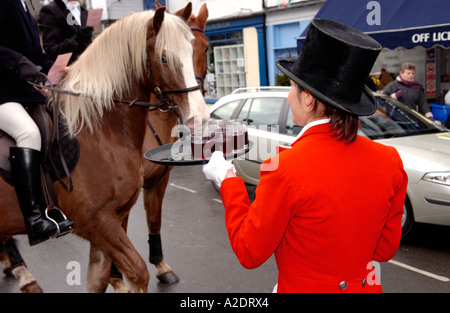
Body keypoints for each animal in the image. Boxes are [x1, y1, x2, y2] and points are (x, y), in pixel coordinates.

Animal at [0, 6, 208, 292]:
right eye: (164, 57)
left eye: (203, 48)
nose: (199, 118)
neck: (98, 131)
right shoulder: (98, 221)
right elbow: (137, 271)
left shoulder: (120, 211)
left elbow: (100, 277)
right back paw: (23, 273)